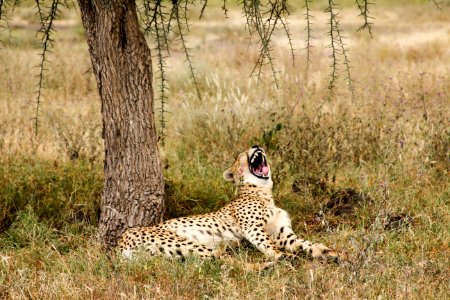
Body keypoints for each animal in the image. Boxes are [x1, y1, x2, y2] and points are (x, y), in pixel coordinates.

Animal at [117, 145, 344, 268]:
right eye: (241, 155)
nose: (256, 144)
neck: (262, 191)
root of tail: (119, 244)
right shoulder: (253, 229)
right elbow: (270, 246)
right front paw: (283, 255)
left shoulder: (282, 233)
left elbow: (306, 244)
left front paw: (328, 252)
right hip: (186, 243)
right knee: (224, 262)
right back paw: (269, 265)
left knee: (218, 261)